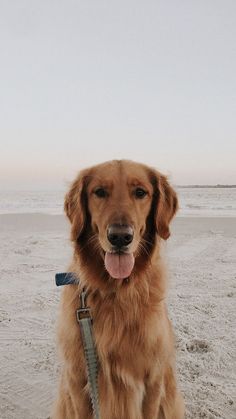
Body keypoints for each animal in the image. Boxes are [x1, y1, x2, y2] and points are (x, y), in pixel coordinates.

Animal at [52, 161, 185, 419]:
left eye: (140, 192)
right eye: (100, 192)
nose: (120, 237)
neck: (115, 291)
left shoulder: (153, 381)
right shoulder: (77, 380)